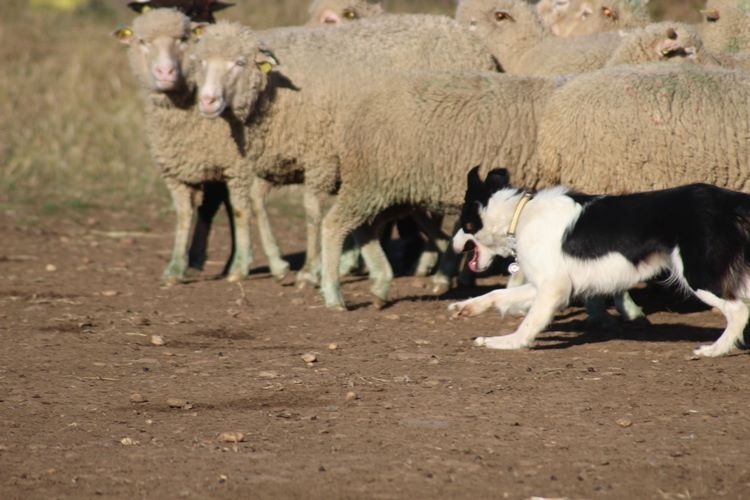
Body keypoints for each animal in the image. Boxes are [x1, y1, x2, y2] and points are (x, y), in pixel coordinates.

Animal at [116, 7, 290, 284]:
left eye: (183, 39)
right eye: (142, 41)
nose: (165, 73)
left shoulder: (236, 166)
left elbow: (238, 210)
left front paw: (239, 264)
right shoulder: (175, 171)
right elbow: (185, 215)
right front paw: (176, 268)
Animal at [192, 16, 506, 290]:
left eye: (239, 63)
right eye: (201, 62)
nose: (207, 102)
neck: (274, 92)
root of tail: (472, 41)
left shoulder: (320, 156)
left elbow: (312, 213)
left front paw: (309, 272)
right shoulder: (280, 160)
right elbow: (256, 202)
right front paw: (278, 265)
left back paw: (447, 273)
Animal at [452, 167, 750, 356]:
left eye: (462, 221)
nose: (454, 244)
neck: (519, 214)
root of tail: (725, 200)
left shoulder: (554, 288)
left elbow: (530, 321)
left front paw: (506, 342)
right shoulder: (544, 285)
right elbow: (497, 294)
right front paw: (465, 307)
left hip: (700, 273)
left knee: (738, 311)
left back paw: (715, 350)